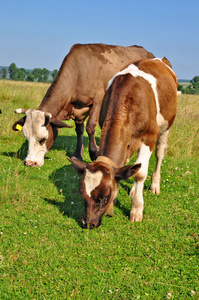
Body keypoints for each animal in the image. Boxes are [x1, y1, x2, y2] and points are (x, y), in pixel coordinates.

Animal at [12, 42, 155, 166]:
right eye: (26, 137)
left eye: (43, 139)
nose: (30, 163)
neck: (78, 73)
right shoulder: (77, 109)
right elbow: (79, 130)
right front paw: (78, 154)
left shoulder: (98, 100)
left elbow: (90, 127)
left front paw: (94, 153)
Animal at [69, 57, 178, 229]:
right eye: (82, 193)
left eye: (105, 196)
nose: (88, 223)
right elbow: (128, 169)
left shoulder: (150, 136)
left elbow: (140, 173)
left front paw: (136, 210)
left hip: (166, 125)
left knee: (159, 154)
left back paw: (155, 185)